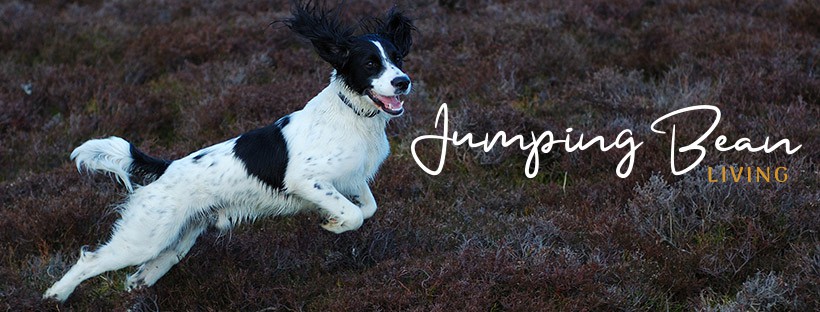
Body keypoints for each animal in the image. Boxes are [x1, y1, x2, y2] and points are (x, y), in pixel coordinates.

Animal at [42, 2, 414, 302]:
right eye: (370, 64)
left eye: (396, 58)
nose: (403, 82)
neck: (352, 114)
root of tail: (166, 168)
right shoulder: (306, 180)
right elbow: (353, 214)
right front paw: (333, 224)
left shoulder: (352, 178)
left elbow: (367, 208)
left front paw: (334, 219)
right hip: (144, 237)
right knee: (91, 260)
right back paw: (55, 295)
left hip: (177, 239)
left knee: (146, 270)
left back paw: (136, 287)